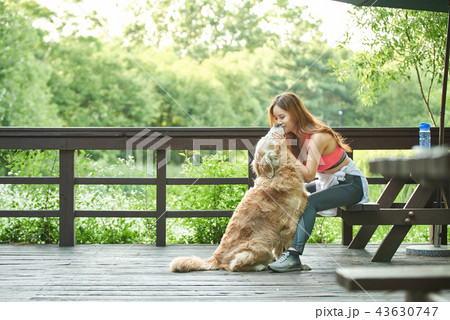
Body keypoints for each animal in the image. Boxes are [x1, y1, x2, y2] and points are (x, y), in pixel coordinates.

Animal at [171, 130, 308, 272]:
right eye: (270, 137)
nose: (276, 125)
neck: (280, 172)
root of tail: (215, 259)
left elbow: (280, 250)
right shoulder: (291, 223)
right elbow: (291, 247)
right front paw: (298, 265)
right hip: (260, 243)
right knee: (235, 265)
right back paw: (260, 266)